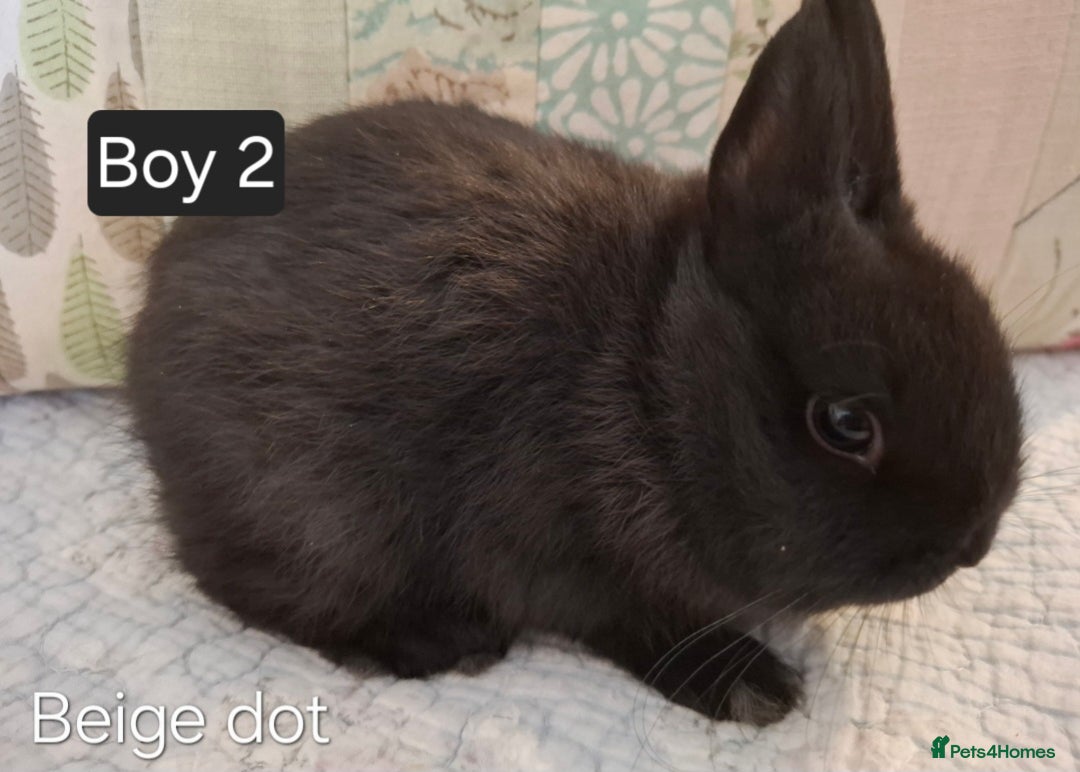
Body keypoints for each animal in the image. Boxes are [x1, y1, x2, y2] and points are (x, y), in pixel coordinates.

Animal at [126, 0, 1023, 726]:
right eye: (843, 423)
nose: (975, 542)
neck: (651, 375)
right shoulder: (558, 559)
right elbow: (630, 620)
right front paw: (750, 687)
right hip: (322, 513)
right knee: (246, 585)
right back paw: (434, 640)